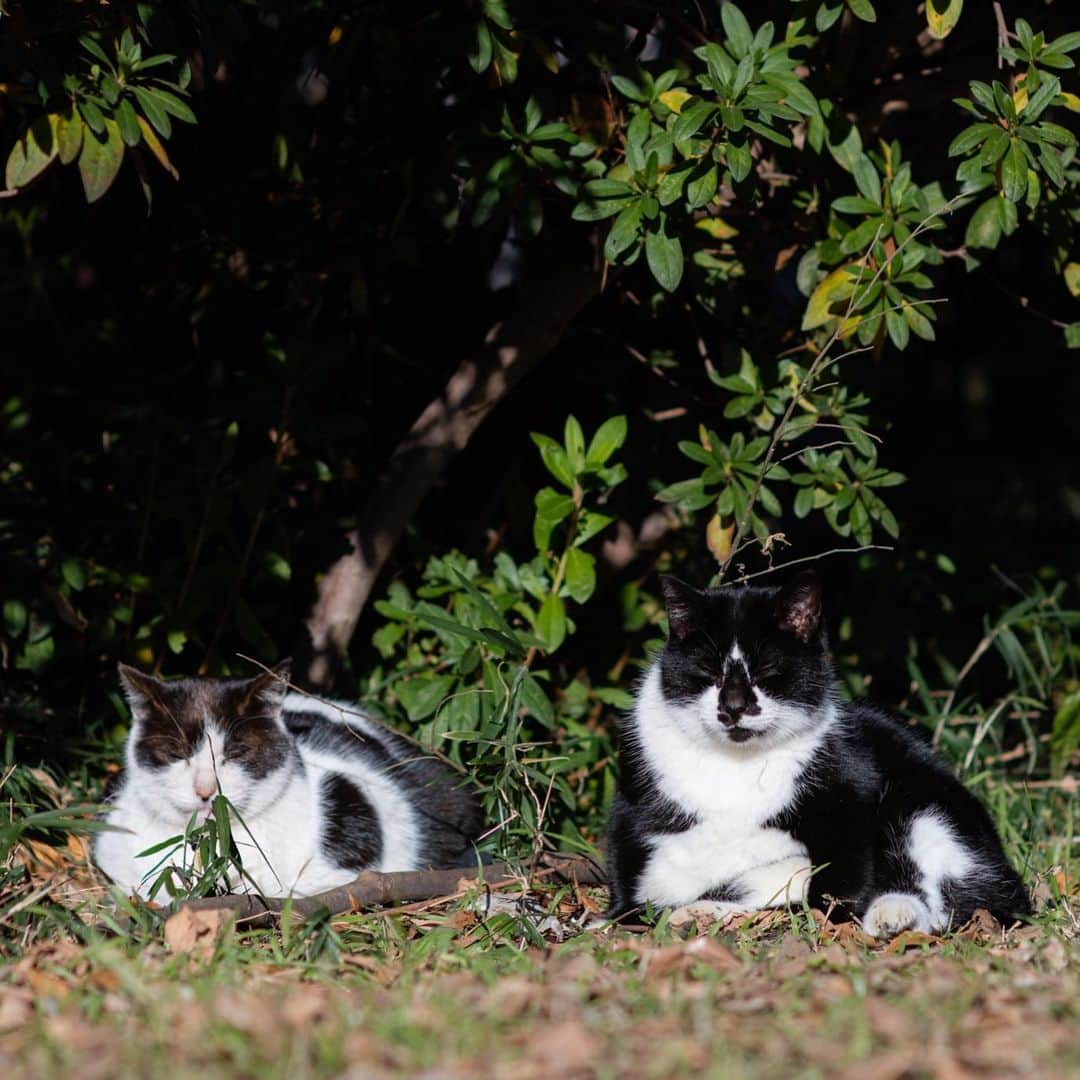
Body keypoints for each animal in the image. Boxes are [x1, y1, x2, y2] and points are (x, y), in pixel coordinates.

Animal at [604, 574, 1032, 937]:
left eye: (769, 671)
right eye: (708, 671)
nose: (734, 707)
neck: (736, 766)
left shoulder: (849, 794)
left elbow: (839, 881)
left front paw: (833, 920)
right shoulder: (632, 800)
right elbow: (626, 867)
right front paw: (617, 918)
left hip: (922, 805)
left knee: (947, 899)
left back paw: (891, 915)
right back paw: (699, 912)